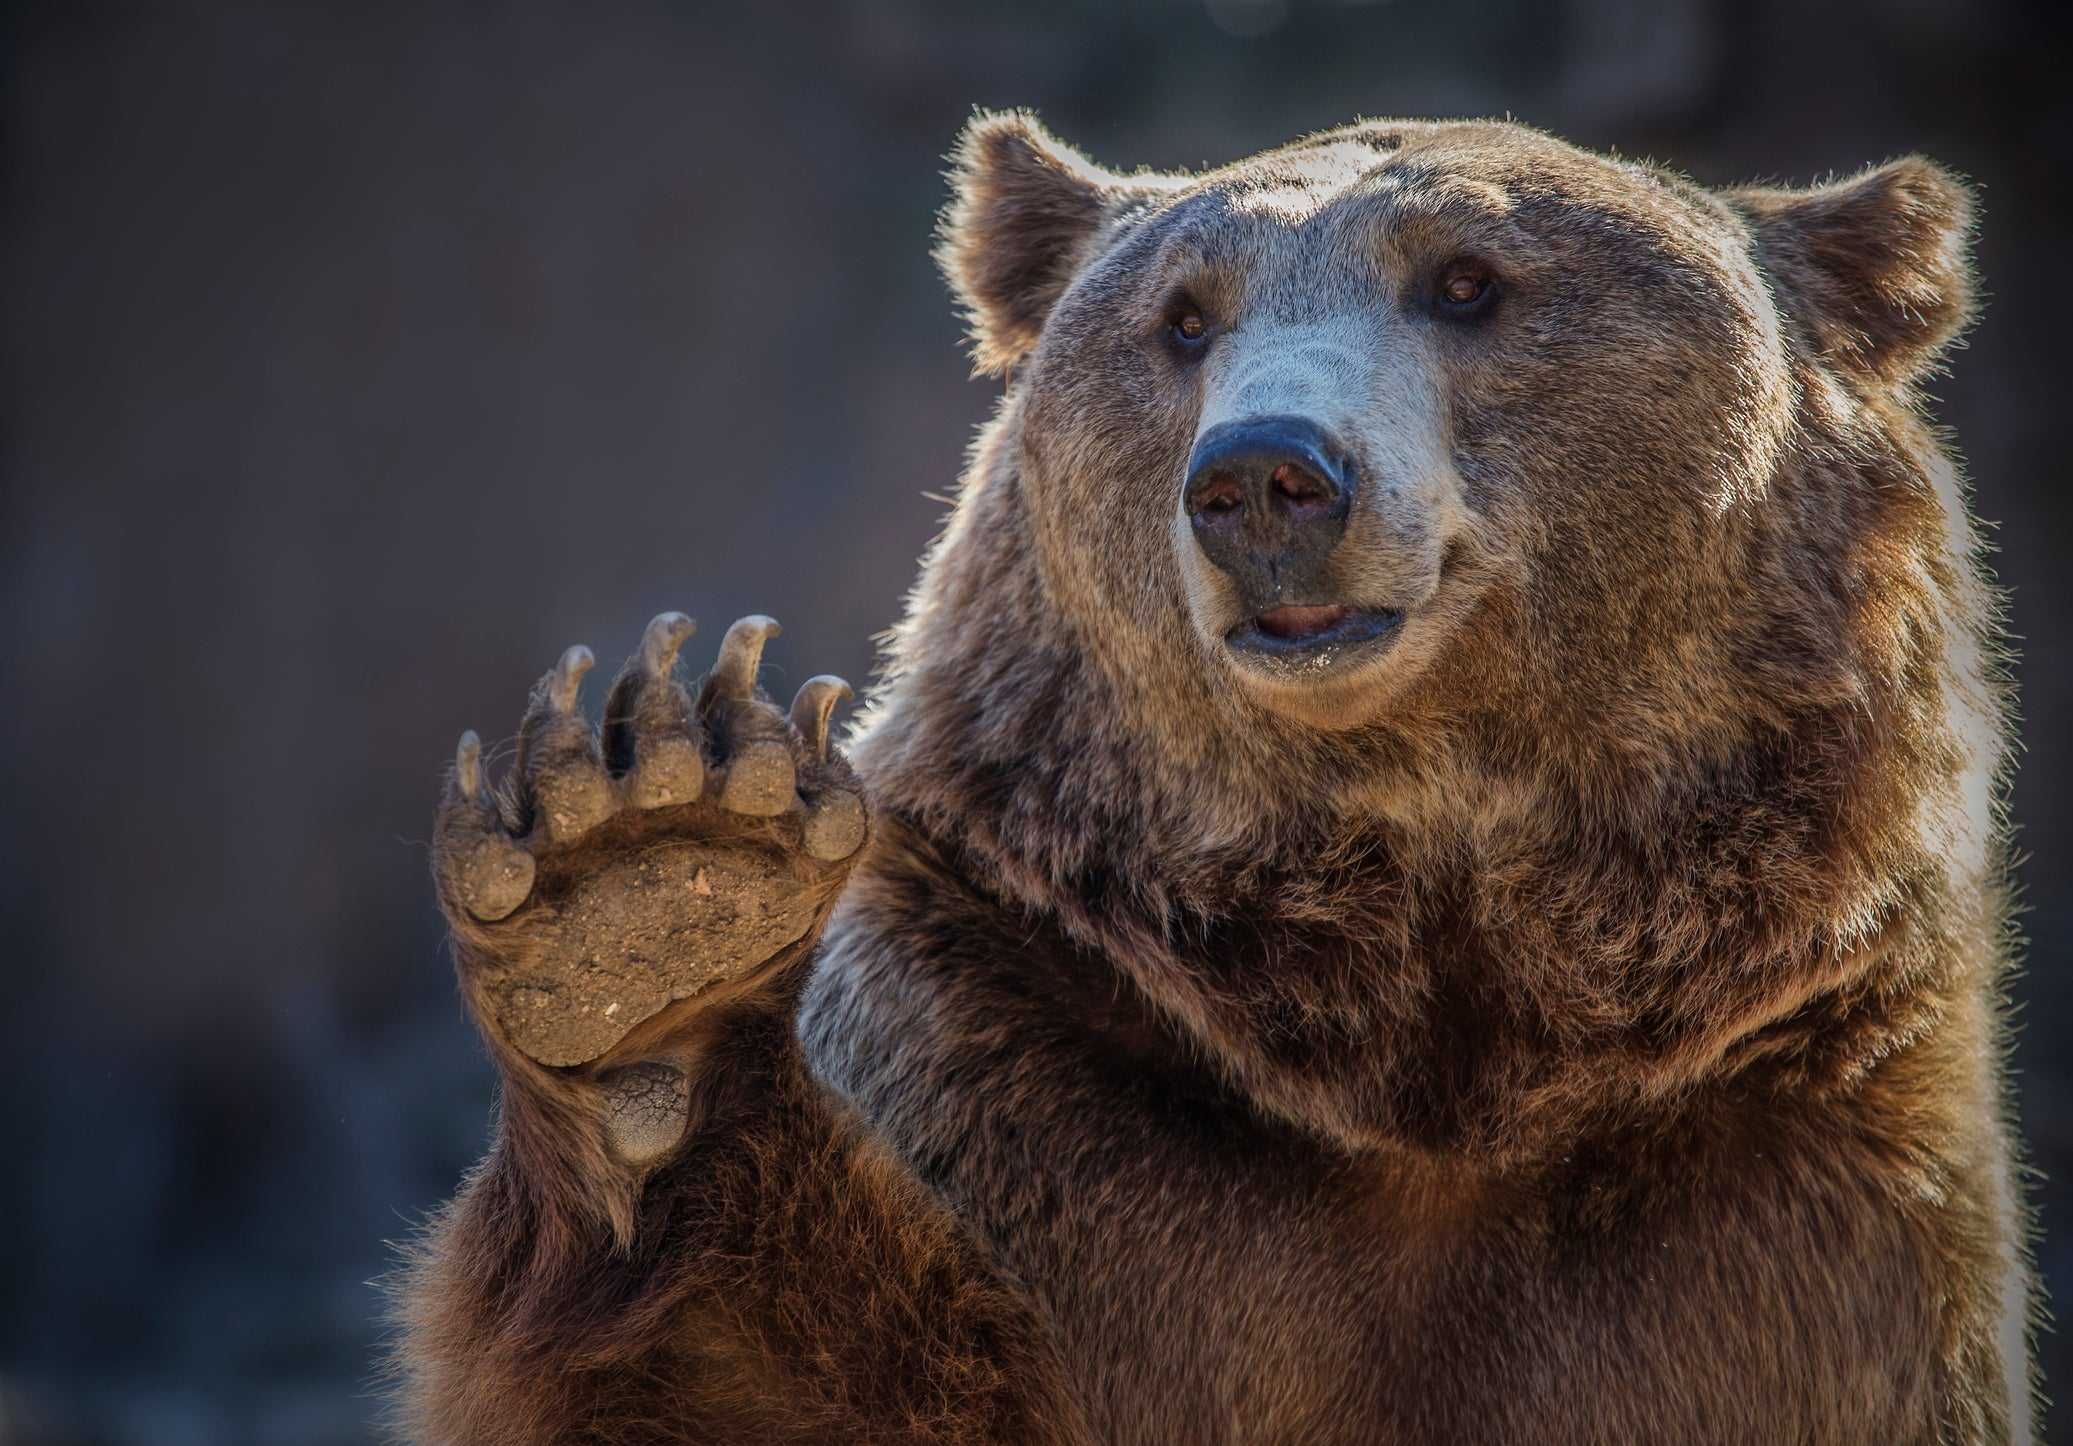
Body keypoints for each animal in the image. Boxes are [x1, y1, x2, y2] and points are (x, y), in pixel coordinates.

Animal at [395, 115, 2031, 1441]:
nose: (1264, 476)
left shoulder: (1785, 1189)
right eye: (1183, 316)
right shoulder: (1031, 1070)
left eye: (1468, 280)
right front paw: (650, 902)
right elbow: (756, 1381)